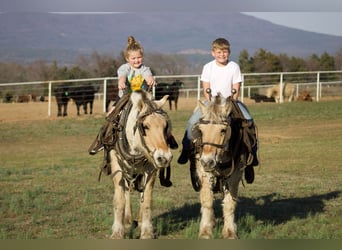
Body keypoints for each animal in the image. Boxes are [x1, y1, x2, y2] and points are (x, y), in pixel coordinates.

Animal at [103, 90, 172, 238]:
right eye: (145, 126)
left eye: (165, 126)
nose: (165, 158)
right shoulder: (117, 166)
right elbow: (120, 199)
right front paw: (117, 232)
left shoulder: (151, 168)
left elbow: (146, 199)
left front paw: (146, 232)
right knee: (127, 191)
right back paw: (128, 220)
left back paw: (139, 220)